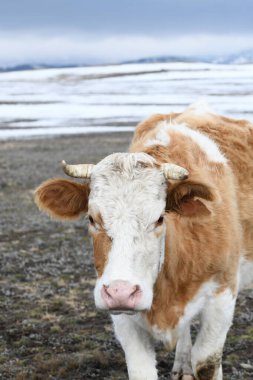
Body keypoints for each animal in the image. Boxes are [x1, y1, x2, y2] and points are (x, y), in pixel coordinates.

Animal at [35, 101, 253, 380]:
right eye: (92, 219)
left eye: (159, 218)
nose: (121, 292)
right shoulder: (123, 319)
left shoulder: (222, 293)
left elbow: (207, 362)